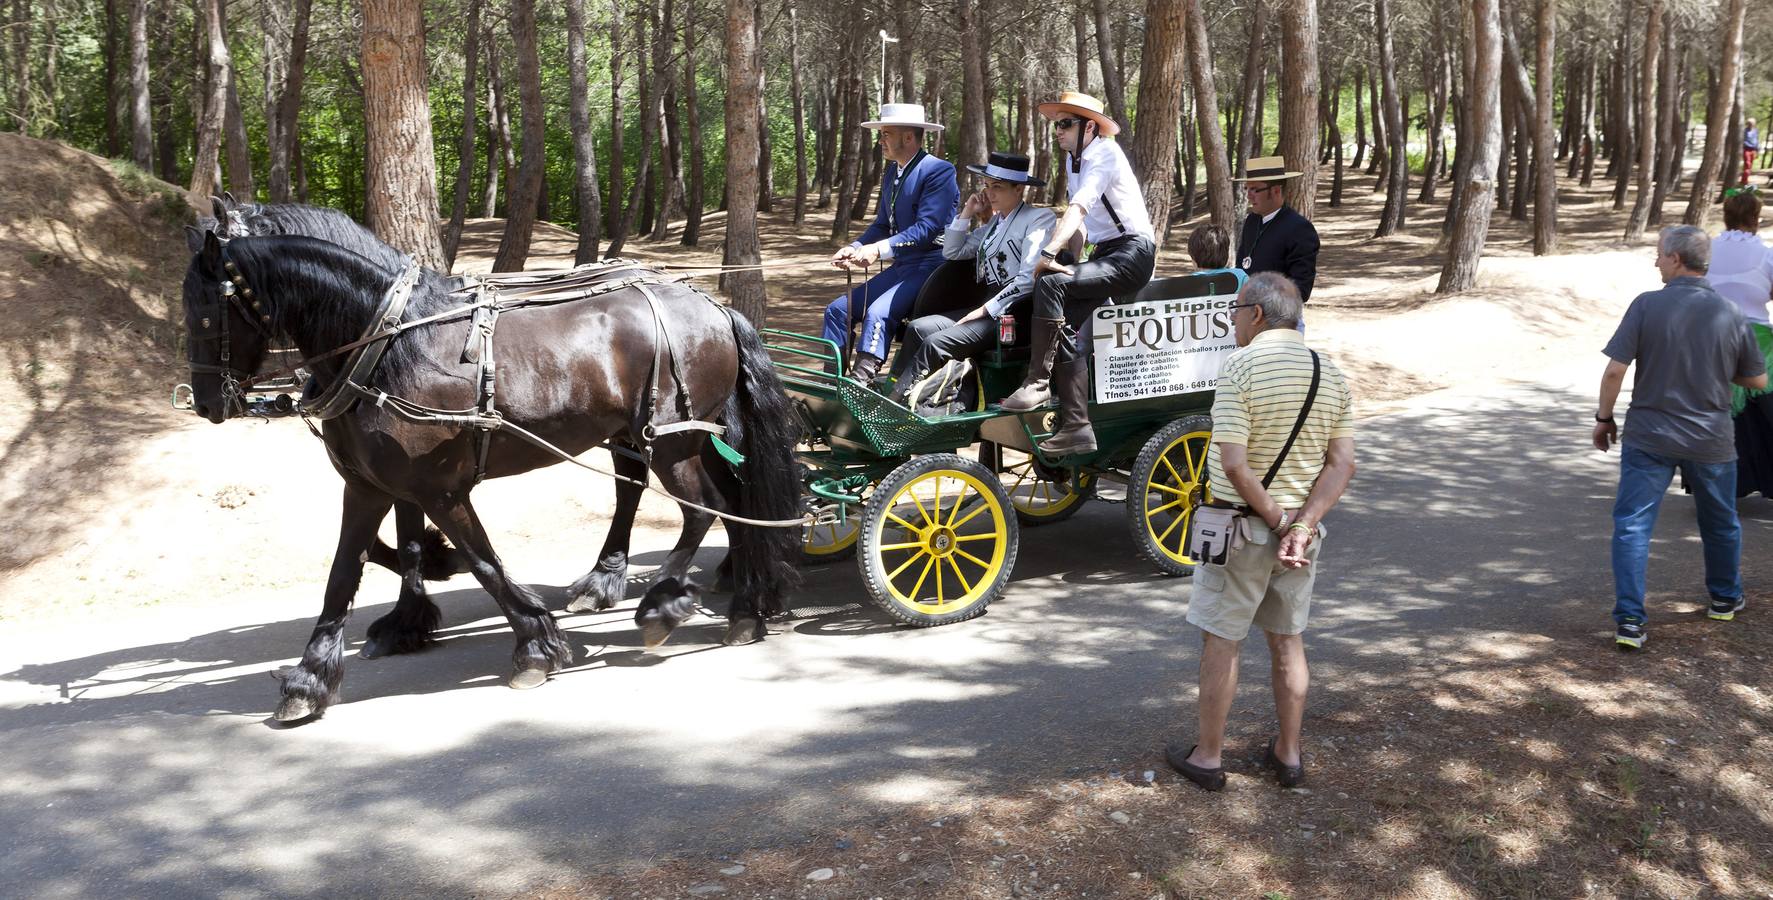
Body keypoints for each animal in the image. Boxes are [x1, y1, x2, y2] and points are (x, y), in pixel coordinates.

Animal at [185, 233, 804, 722]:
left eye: (207, 316)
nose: (207, 404)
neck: (388, 348)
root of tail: (714, 307)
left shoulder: (439, 488)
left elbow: (482, 562)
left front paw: (534, 644)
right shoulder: (367, 487)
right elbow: (344, 573)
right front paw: (311, 679)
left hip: (670, 444)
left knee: (704, 511)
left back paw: (666, 604)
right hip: (678, 440)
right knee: (736, 506)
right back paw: (745, 606)